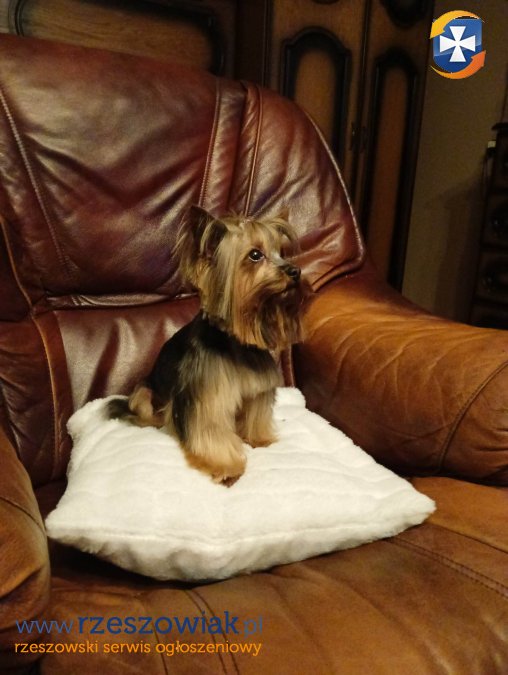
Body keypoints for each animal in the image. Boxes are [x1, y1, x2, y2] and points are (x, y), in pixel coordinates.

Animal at [108, 206, 306, 485]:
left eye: (282, 252)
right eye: (255, 255)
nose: (295, 271)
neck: (235, 342)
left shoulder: (256, 390)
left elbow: (255, 416)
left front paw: (259, 439)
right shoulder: (206, 399)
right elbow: (210, 432)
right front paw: (226, 466)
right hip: (144, 393)